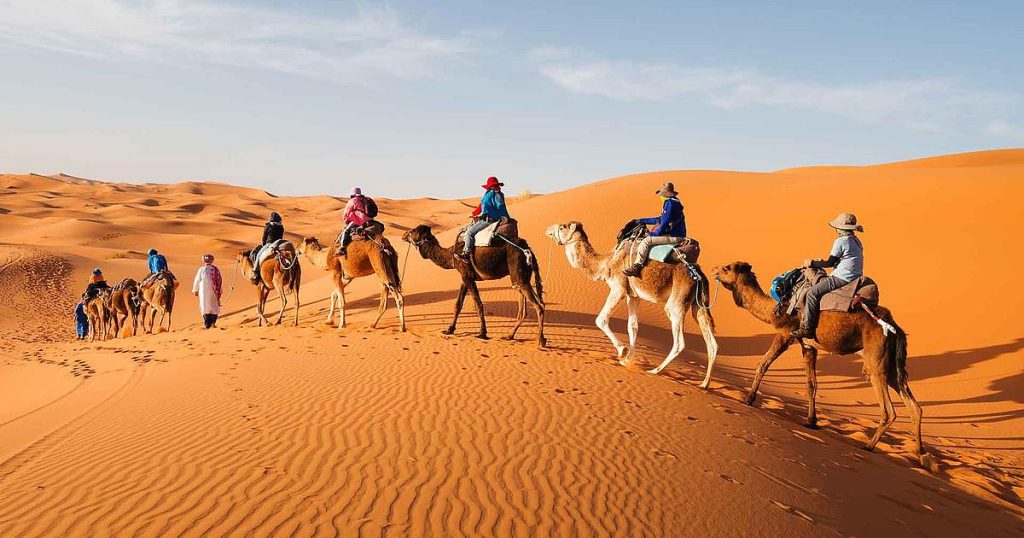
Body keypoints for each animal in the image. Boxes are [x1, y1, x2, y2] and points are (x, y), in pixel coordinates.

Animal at [402, 224, 545, 346]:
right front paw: (449, 329)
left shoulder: (467, 276)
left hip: (518, 271)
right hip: (522, 277)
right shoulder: (464, 277)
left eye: (413, 231)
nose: (403, 235)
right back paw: (510, 336)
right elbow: (458, 304)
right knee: (525, 307)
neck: (451, 254)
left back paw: (541, 340)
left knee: (538, 305)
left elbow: (478, 304)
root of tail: (528, 250)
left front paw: (482, 333)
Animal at [545, 222, 719, 386]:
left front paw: (622, 351)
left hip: (677, 301)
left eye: (562, 227)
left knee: (679, 342)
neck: (606, 263)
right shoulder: (633, 296)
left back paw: (655, 370)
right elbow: (633, 326)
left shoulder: (619, 288)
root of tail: (699, 276)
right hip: (699, 304)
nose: (548, 229)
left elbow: (600, 319)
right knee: (711, 342)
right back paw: (704, 383)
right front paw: (629, 359)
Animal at [711, 261, 925, 464]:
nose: (713, 270)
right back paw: (921, 455)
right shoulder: (808, 345)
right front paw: (811, 421)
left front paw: (749, 398)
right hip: (891, 363)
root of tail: (895, 326)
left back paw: (869, 446)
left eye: (726, 268)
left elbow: (762, 364)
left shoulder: (785, 333)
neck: (774, 309)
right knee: (913, 405)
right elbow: (811, 384)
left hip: (875, 358)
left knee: (888, 408)